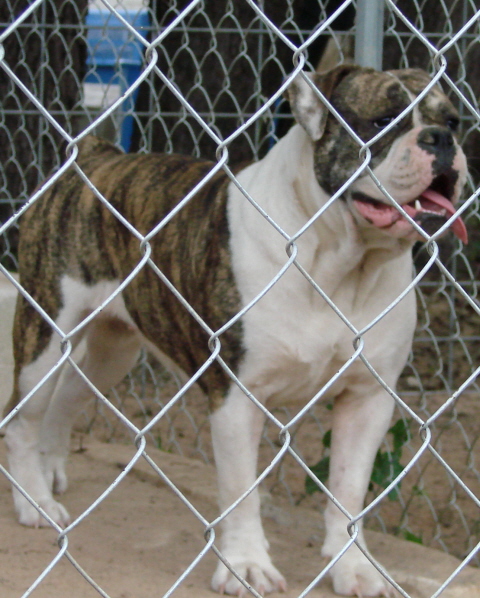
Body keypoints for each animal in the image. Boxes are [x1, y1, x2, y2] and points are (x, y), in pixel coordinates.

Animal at [2, 64, 468, 596]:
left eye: (453, 121)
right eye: (383, 120)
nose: (440, 139)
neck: (340, 264)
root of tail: (100, 157)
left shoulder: (367, 398)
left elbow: (349, 493)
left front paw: (354, 568)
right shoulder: (237, 397)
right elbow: (242, 491)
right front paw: (245, 566)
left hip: (113, 353)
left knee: (64, 400)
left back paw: (50, 468)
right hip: (44, 333)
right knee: (23, 419)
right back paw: (34, 502)